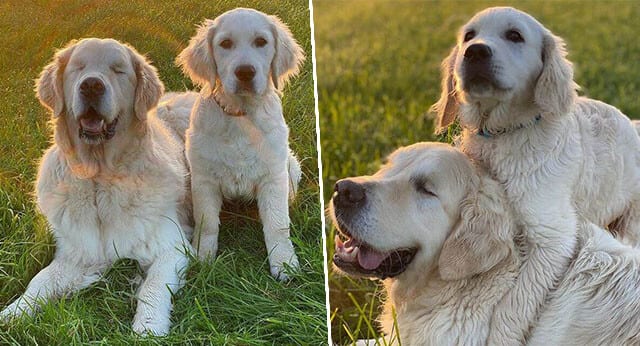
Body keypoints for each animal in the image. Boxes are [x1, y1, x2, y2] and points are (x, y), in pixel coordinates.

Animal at [1, 37, 194, 336]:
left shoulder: (173, 247)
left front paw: (148, 328)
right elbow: (39, 281)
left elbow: (153, 287)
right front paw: (12, 313)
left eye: (118, 70)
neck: (100, 179)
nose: (91, 85)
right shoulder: (79, 252)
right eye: (78, 67)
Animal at [175, 8, 304, 282]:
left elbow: (277, 223)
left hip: (290, 164)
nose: (245, 72)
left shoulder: (272, 176)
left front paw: (284, 263)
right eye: (225, 44)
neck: (241, 115)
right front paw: (203, 259)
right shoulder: (204, 179)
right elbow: (207, 222)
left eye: (261, 42)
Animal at [428, 7, 640, 344]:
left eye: (515, 36)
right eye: (468, 36)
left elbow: (514, 304)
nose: (475, 51)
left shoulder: (552, 238)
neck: (504, 135)